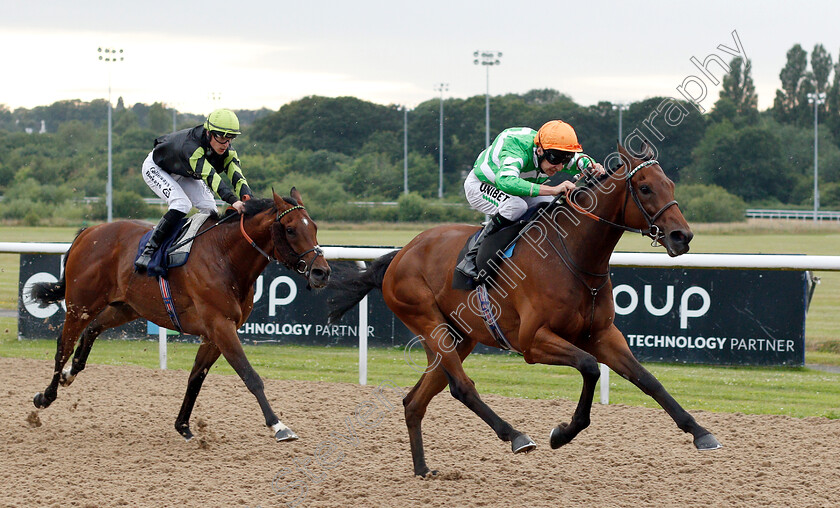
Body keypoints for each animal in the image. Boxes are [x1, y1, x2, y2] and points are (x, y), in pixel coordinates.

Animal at [27, 189, 328, 442]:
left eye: (314, 227)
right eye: (290, 229)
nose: (322, 272)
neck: (225, 257)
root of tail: (89, 231)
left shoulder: (214, 334)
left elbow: (196, 377)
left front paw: (183, 425)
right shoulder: (221, 327)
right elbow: (250, 375)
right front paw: (278, 425)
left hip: (126, 307)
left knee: (91, 331)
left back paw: (68, 375)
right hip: (81, 304)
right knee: (63, 345)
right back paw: (46, 396)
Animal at [328, 144, 720, 476]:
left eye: (670, 184)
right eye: (645, 188)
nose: (682, 236)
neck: (574, 256)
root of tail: (400, 254)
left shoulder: (603, 334)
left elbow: (647, 379)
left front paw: (700, 432)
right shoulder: (534, 341)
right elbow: (590, 367)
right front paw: (562, 433)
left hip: (460, 336)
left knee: (415, 400)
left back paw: (423, 469)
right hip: (428, 322)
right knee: (462, 387)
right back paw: (515, 436)